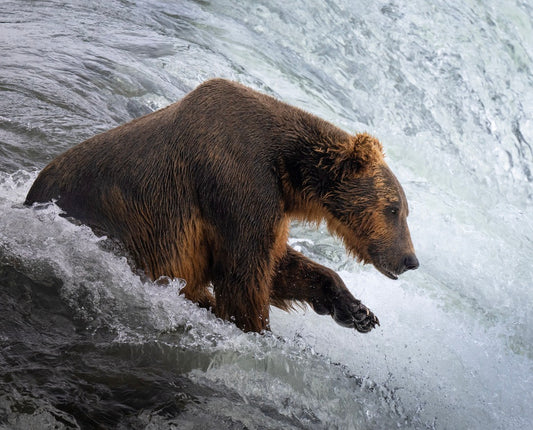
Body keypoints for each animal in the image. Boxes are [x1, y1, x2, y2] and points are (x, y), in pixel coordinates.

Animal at [25, 78, 418, 332]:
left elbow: (279, 264)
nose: (410, 260)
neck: (287, 169)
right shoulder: (237, 180)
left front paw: (358, 311)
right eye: (394, 208)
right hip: (108, 225)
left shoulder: (269, 202)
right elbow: (244, 274)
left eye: (403, 209)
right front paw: (257, 330)